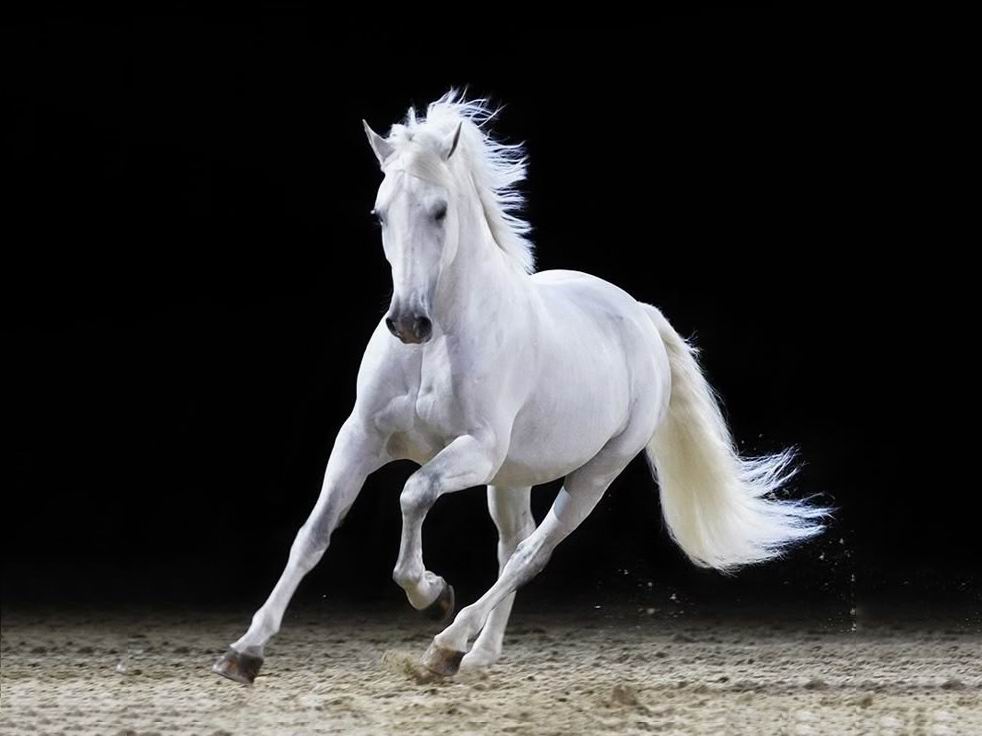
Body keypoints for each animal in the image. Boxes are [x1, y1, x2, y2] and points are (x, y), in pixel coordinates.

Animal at [215, 92, 832, 684]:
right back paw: (477, 655)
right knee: (513, 544)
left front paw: (430, 593)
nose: (408, 323)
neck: (439, 344)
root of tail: (639, 314)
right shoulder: (361, 438)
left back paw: (445, 646)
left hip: (592, 475)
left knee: (531, 554)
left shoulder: (476, 451)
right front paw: (244, 654)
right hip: (512, 478)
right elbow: (314, 532)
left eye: (440, 210)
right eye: (379, 214)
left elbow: (413, 492)